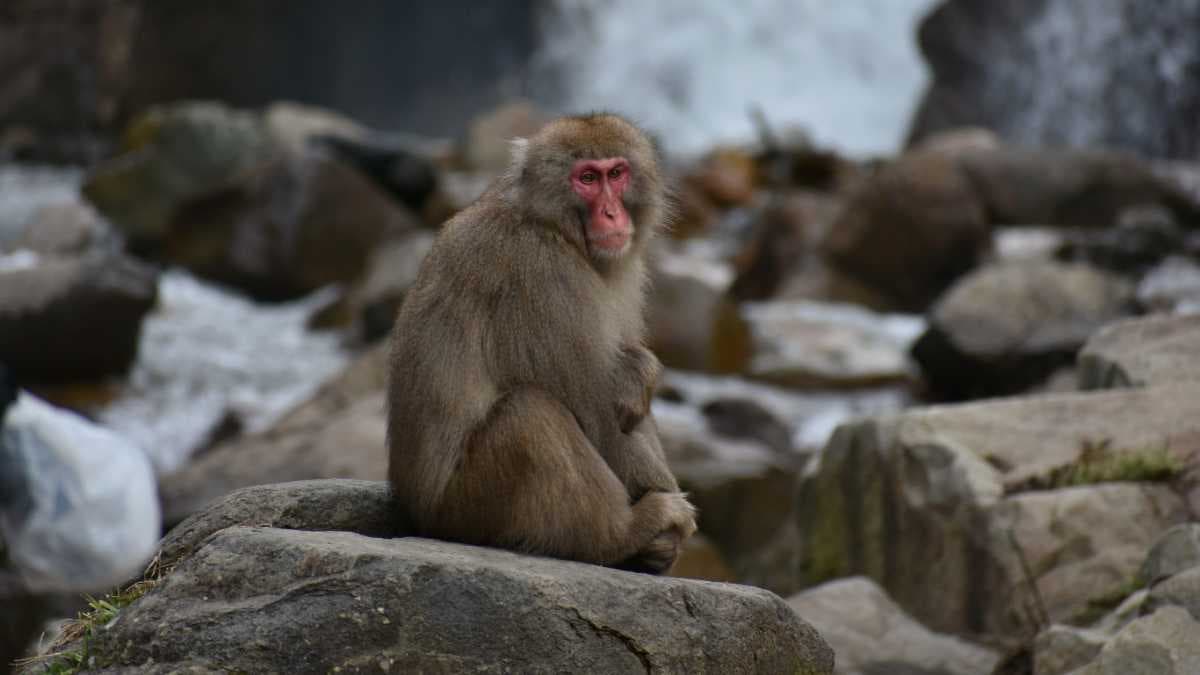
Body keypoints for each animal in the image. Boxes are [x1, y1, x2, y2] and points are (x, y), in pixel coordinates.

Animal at [387, 113, 696, 573]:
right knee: (530, 415)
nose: (611, 213)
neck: (551, 225)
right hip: (469, 505)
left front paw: (642, 370)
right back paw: (623, 534)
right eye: (586, 178)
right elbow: (596, 413)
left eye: (616, 173)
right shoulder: (543, 276)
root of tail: (418, 514)